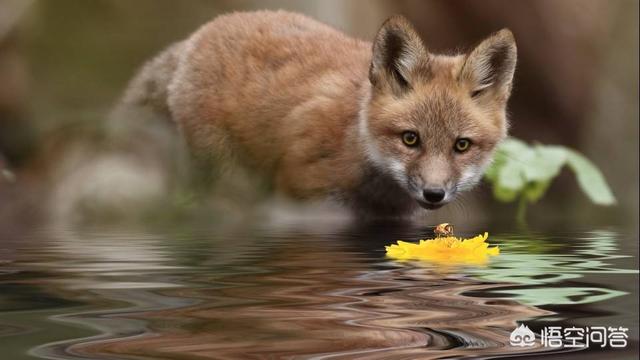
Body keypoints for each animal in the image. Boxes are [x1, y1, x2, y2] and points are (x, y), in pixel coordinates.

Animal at [74, 10, 516, 219]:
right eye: (410, 139)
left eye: (462, 145)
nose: (434, 193)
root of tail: (198, 34)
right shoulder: (306, 199)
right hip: (230, 180)